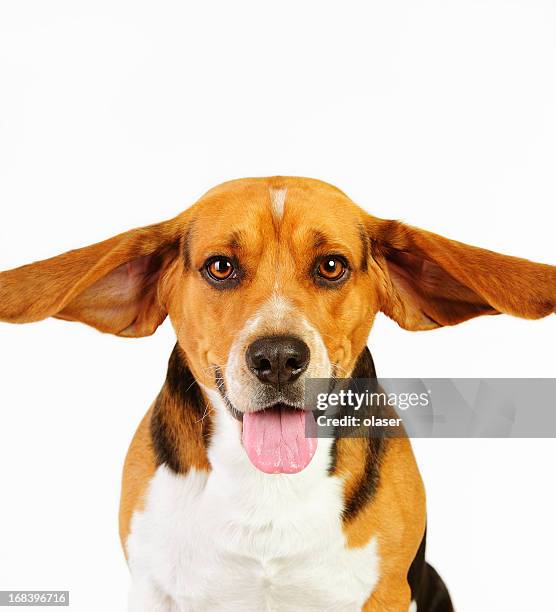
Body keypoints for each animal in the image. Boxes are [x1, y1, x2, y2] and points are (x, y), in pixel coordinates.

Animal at [0, 175, 552, 608]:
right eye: (220, 267)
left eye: (331, 266)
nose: (279, 359)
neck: (267, 487)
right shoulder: (152, 588)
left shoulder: (386, 592)